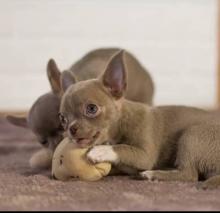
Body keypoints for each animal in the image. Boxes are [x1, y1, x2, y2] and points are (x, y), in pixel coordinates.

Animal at [59, 50, 220, 190]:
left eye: (91, 109)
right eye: (63, 119)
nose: (71, 129)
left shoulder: (145, 155)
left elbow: (123, 147)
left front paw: (101, 151)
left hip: (192, 134)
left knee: (189, 174)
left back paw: (151, 174)